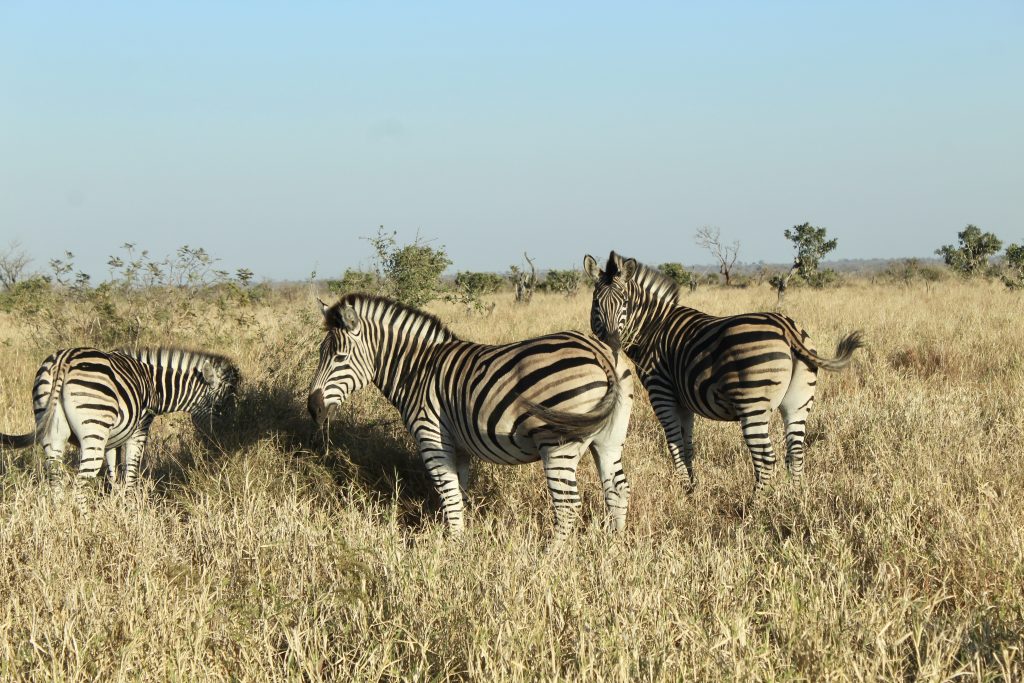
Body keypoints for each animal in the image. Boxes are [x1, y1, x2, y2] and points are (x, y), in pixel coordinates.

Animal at [0, 348, 237, 501]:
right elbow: (131, 470)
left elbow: (114, 471)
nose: (221, 445)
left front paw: (115, 503)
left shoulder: (112, 438)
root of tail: (63, 360)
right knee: (80, 485)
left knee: (55, 481)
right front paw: (130, 507)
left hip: (52, 431)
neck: (156, 386)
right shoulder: (140, 428)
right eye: (219, 407)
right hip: (93, 430)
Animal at [303, 296, 630, 540]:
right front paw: (456, 538)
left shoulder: (431, 438)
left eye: (340, 358)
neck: (416, 370)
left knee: (567, 505)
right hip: (609, 441)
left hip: (558, 443)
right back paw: (615, 545)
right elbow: (457, 493)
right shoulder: (458, 445)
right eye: (320, 353)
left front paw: (453, 547)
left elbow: (448, 494)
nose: (313, 409)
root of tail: (598, 351)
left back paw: (549, 558)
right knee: (618, 491)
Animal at [585, 249, 864, 491]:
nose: (611, 345)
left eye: (624, 304)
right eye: (596, 303)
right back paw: (795, 498)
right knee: (795, 452)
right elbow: (687, 444)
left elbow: (674, 442)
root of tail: (787, 329)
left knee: (766, 459)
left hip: (753, 404)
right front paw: (693, 488)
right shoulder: (684, 401)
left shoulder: (661, 392)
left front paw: (682, 488)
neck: (653, 328)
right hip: (798, 402)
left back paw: (756, 505)